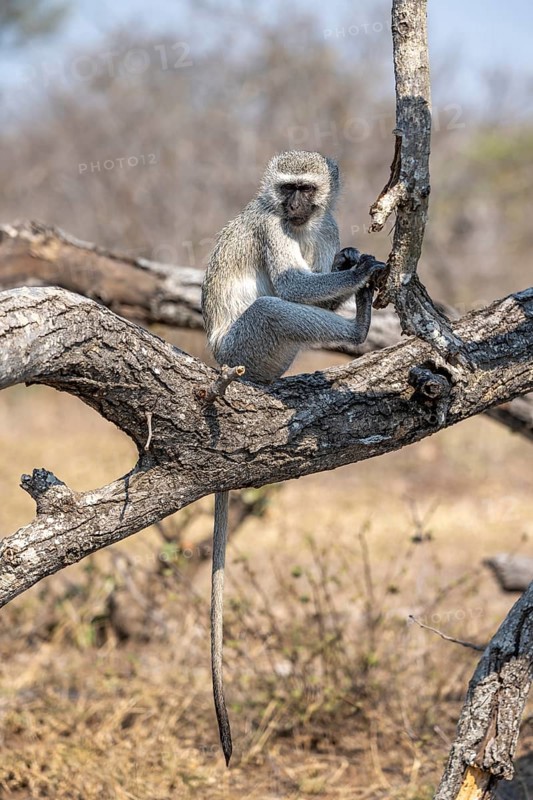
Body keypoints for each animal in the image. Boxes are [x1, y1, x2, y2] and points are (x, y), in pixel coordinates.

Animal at [201, 150, 386, 766]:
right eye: (287, 189)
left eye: (307, 188)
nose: (297, 205)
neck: (301, 223)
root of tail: (220, 366)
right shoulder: (270, 225)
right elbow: (287, 283)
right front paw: (359, 272)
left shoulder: (324, 225)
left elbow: (314, 277)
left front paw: (349, 263)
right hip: (243, 348)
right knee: (272, 307)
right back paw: (356, 329)